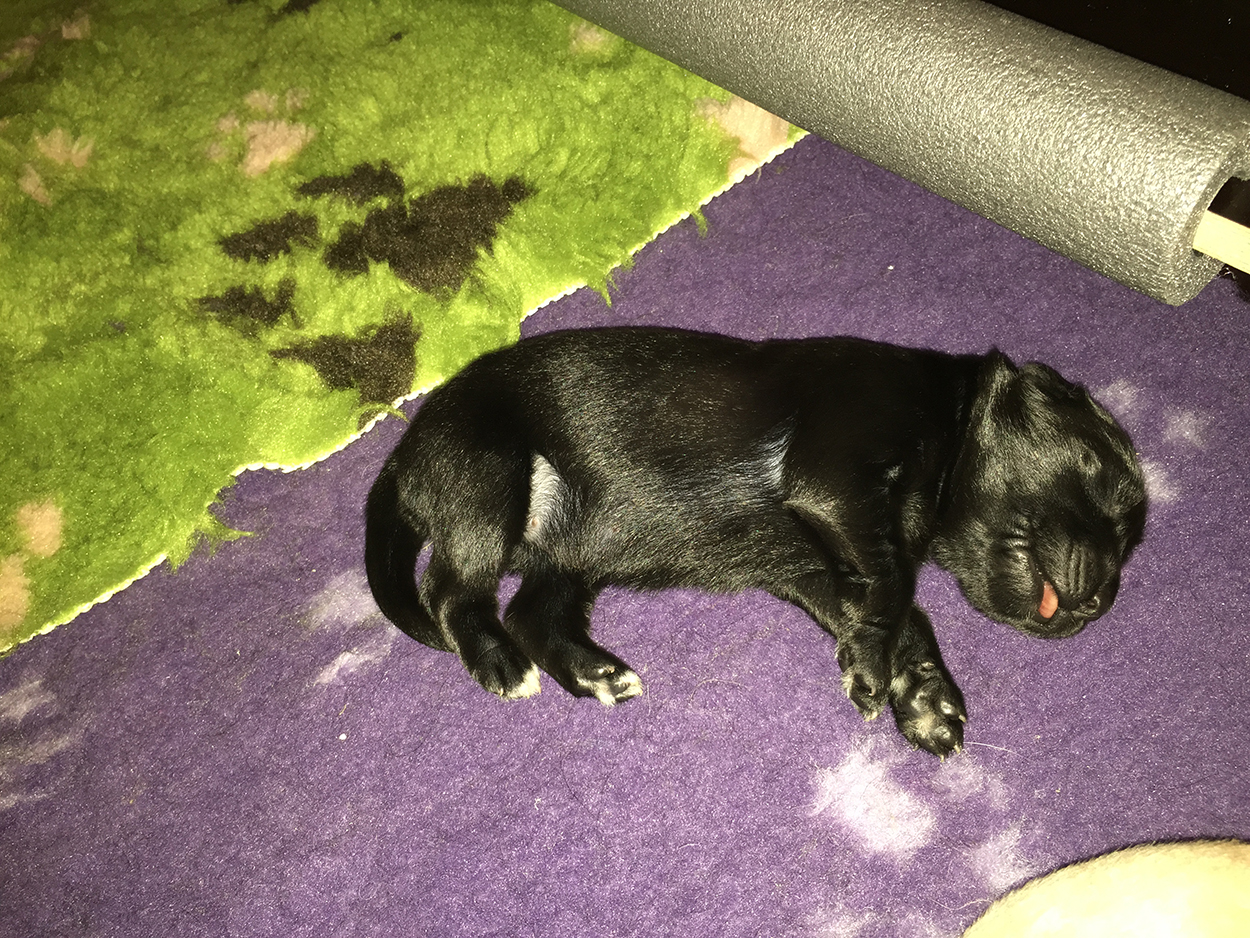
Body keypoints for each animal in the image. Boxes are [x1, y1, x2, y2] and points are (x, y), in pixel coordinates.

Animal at [365, 327, 1146, 757]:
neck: (949, 420)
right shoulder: (835, 481)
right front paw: (879, 673)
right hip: (489, 475)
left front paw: (923, 699)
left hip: (572, 555)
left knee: (531, 611)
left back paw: (597, 674)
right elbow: (898, 592)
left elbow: (900, 614)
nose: (1101, 602)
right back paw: (500, 665)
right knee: (452, 592)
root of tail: (404, 457)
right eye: (1101, 479)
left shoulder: (813, 562)